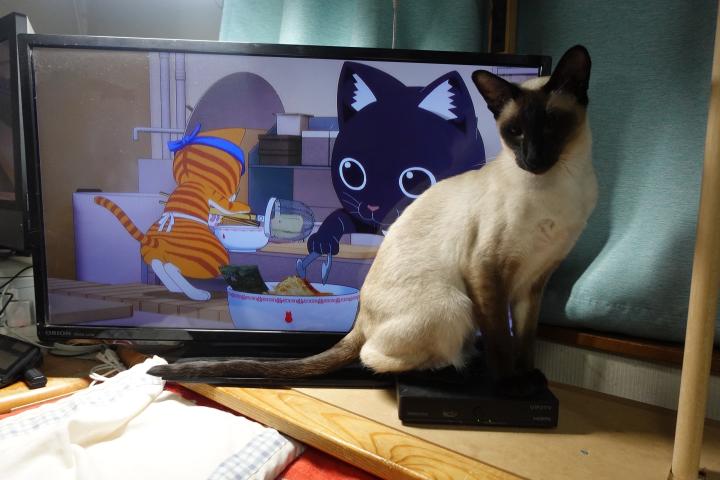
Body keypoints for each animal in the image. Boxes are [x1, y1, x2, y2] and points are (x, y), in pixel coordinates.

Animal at [95, 124, 251, 301]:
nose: (237, 187)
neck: (192, 179)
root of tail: (154, 240)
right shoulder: (211, 192)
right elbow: (227, 205)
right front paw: (243, 208)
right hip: (211, 257)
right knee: (171, 267)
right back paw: (197, 293)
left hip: (154, 254)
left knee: (158, 264)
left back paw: (175, 288)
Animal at [306, 61, 486, 255]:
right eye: (351, 171)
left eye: (414, 179)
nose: (373, 206)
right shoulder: (363, 223)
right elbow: (338, 215)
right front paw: (322, 239)